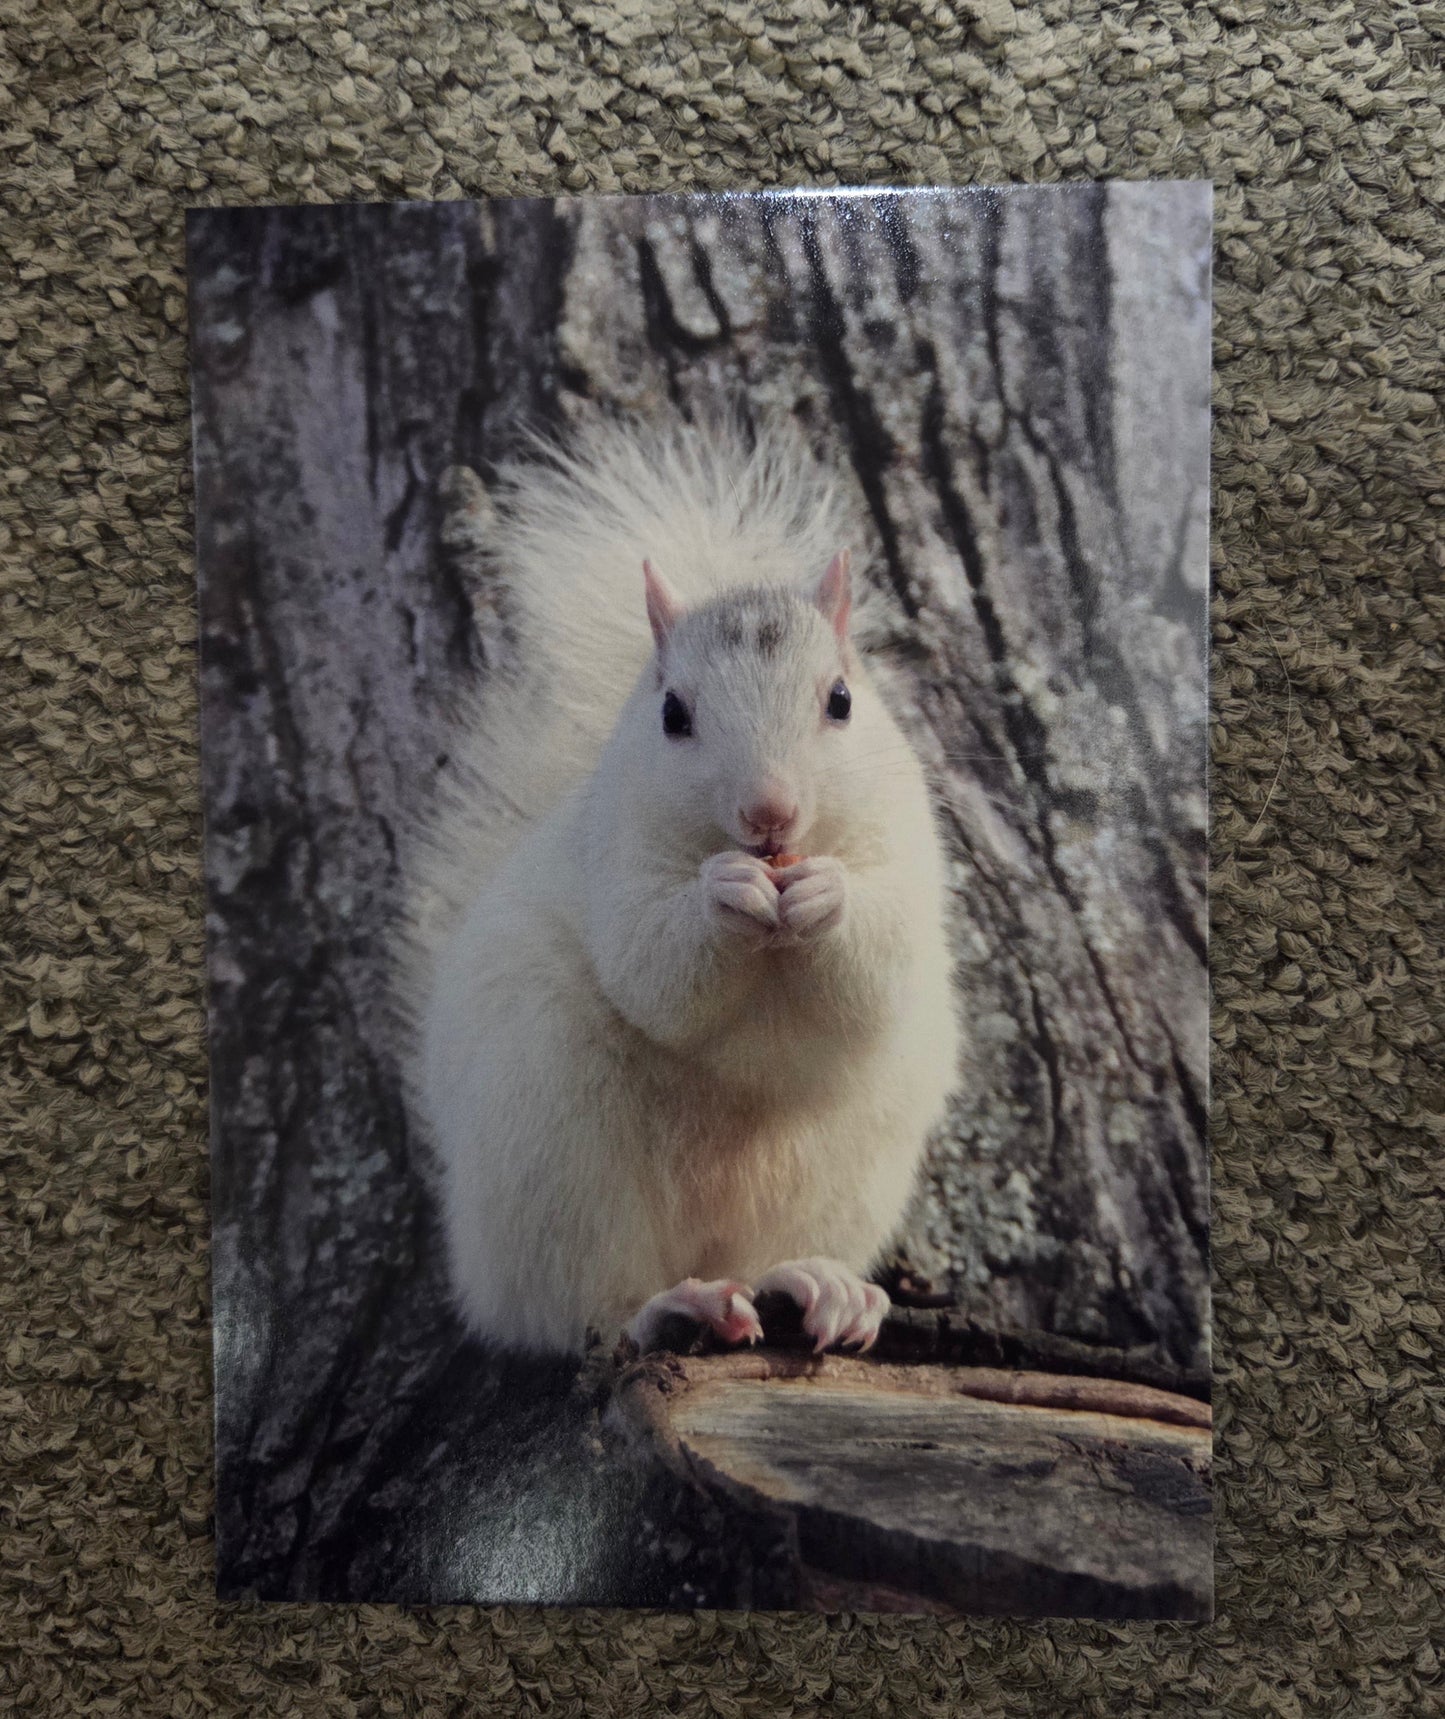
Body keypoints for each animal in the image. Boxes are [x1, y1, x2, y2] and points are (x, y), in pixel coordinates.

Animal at [395, 413, 961, 1358]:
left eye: (841, 699)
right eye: (673, 715)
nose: (768, 813)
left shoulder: (908, 849)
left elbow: (881, 964)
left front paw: (830, 897)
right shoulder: (613, 863)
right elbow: (652, 969)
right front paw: (720, 892)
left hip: (842, 1166)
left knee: (766, 1258)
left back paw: (821, 1283)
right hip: (554, 1151)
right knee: (580, 1306)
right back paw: (672, 1306)